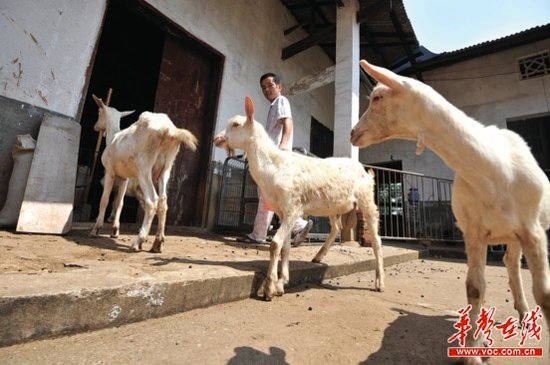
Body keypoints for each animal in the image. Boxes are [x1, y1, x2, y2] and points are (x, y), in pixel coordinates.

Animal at [91, 95, 199, 252]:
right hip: (166, 167)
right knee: (163, 202)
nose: (95, 127)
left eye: (99, 113)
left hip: (144, 168)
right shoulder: (124, 178)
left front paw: (96, 229)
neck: (113, 137)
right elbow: (119, 203)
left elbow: (104, 200)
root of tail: (169, 130)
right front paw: (115, 230)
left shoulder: (110, 172)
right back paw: (157, 243)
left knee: (152, 201)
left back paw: (138, 241)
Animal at [213, 95, 386, 300]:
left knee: (376, 240)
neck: (275, 167)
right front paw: (281, 283)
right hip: (333, 206)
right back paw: (318, 256)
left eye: (236, 124)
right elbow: (285, 246)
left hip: (366, 199)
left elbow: (275, 244)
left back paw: (380, 282)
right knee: (336, 227)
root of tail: (365, 171)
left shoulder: (292, 207)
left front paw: (269, 288)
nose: (217, 139)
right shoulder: (283, 212)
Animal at [354, 58, 550, 362]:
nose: (353, 133)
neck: (493, 172)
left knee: (513, 263)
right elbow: (475, 287)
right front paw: (472, 353)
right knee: (510, 262)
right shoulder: (474, 231)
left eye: (377, 98)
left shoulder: (533, 229)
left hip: (519, 231)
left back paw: (523, 316)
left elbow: (544, 293)